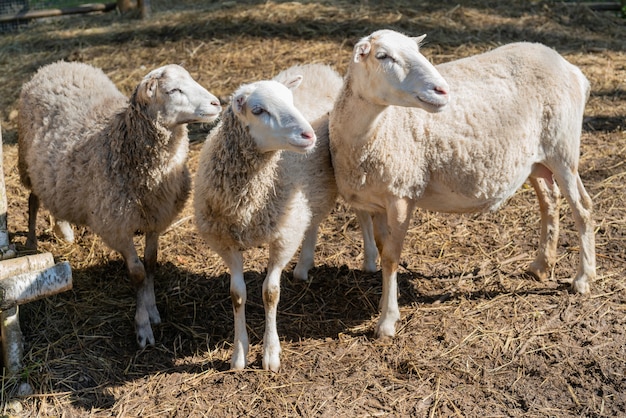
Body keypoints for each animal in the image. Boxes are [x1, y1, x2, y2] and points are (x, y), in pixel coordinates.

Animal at [18, 61, 222, 346]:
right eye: (173, 90)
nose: (217, 103)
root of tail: (55, 65)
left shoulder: (156, 216)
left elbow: (151, 263)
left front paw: (153, 310)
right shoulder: (116, 226)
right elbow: (137, 273)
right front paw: (143, 327)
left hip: (55, 175)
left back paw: (64, 231)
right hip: (26, 161)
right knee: (33, 199)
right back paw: (30, 242)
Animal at [195, 63, 360, 370]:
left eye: (291, 101)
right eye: (258, 110)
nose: (308, 135)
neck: (248, 203)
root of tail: (315, 65)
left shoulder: (284, 236)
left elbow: (270, 293)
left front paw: (270, 353)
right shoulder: (225, 242)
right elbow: (237, 295)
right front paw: (239, 353)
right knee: (312, 222)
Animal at [326, 31, 596, 342]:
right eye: (382, 56)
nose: (442, 90)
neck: (375, 131)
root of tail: (569, 67)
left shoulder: (402, 192)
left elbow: (392, 258)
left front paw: (387, 321)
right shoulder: (379, 198)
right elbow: (383, 252)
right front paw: (384, 302)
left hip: (563, 149)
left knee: (583, 208)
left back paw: (583, 278)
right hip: (537, 159)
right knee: (549, 200)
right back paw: (542, 265)